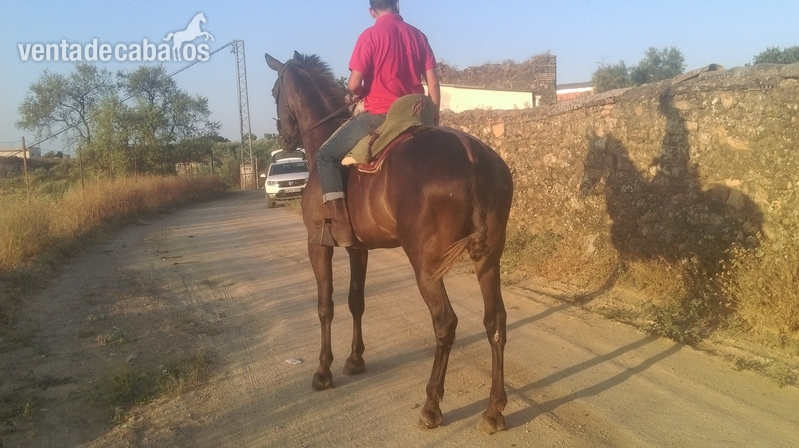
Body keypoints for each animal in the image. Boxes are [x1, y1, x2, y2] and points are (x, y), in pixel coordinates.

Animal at [265, 51, 514, 433]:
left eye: (275, 92)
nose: (284, 136)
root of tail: (472, 154)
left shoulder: (317, 243)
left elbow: (325, 306)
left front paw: (323, 371)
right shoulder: (358, 248)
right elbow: (356, 301)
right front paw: (355, 359)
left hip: (426, 264)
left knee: (445, 323)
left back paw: (431, 404)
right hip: (488, 258)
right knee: (495, 321)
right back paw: (494, 409)